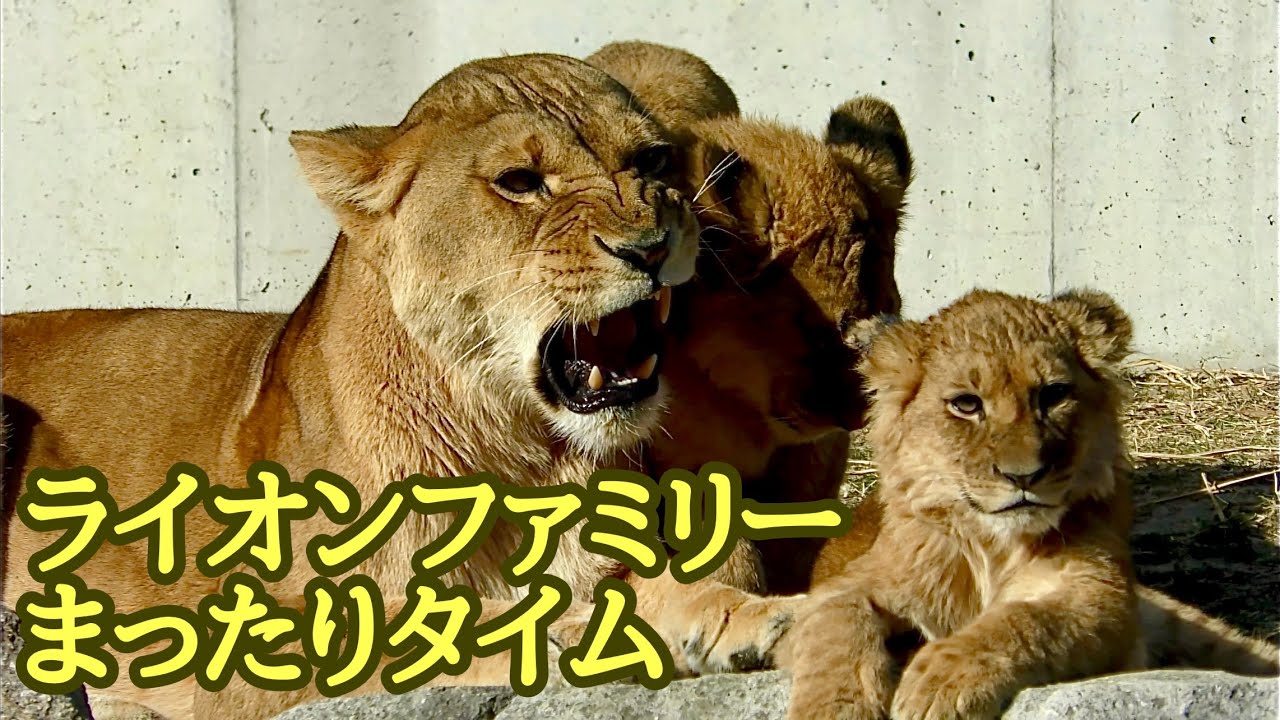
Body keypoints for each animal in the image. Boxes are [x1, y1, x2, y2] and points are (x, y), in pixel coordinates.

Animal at [1, 53, 729, 719]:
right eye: (519, 182)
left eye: (654, 160)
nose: (652, 247)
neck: (516, 454)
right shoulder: (243, 643)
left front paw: (728, 620)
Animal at [778, 289, 1278, 720]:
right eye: (966, 405)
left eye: (1053, 395)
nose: (1023, 476)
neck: (991, 546)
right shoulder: (847, 585)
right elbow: (835, 627)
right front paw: (832, 710)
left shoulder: (1103, 597)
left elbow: (1025, 619)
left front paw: (939, 681)